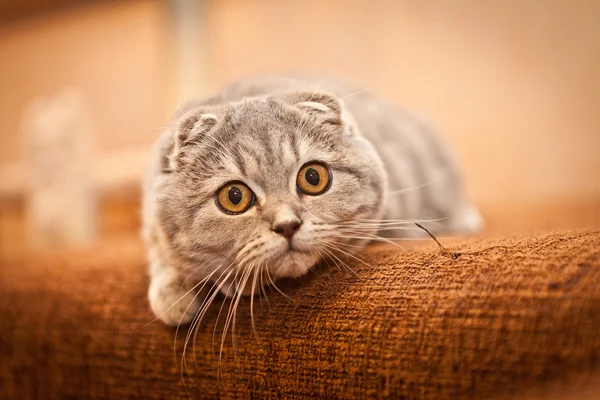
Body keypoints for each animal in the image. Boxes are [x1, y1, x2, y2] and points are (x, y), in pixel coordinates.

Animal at [142, 73, 482, 326]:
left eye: (313, 177)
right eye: (234, 196)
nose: (287, 226)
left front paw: (237, 283)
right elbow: (162, 250)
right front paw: (174, 296)